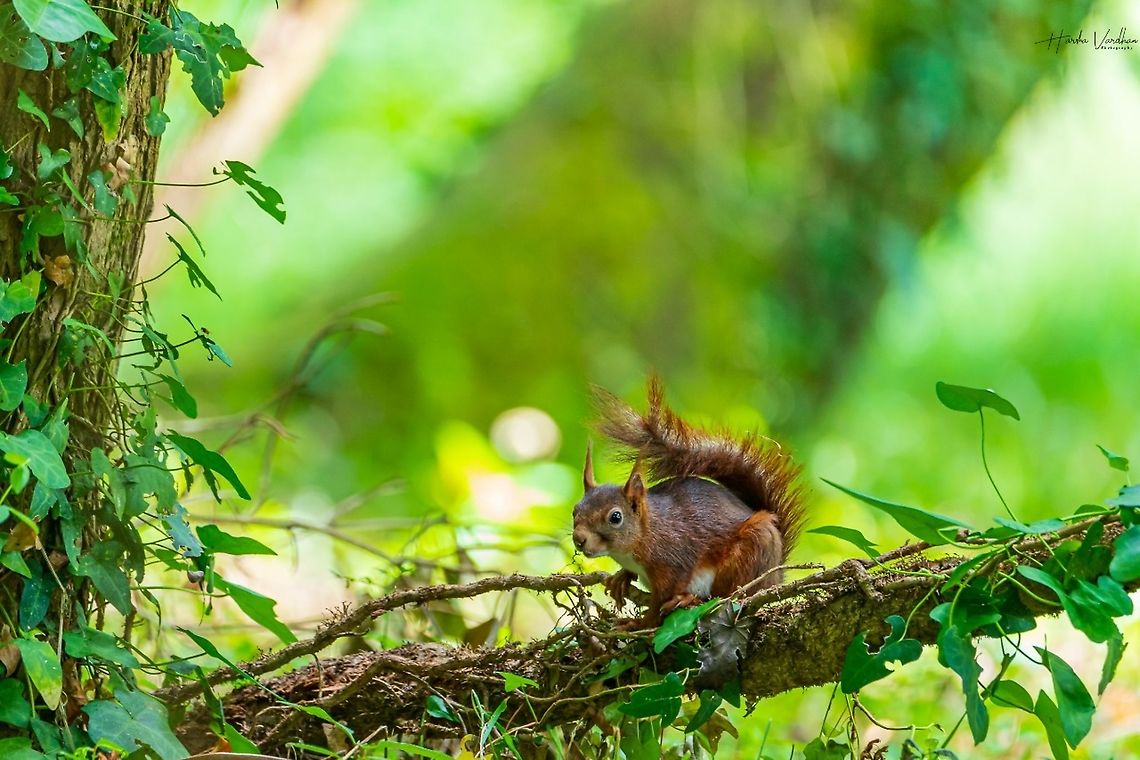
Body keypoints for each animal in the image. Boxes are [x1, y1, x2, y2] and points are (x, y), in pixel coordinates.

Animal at [571, 378, 805, 626]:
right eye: (575, 511)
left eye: (615, 517)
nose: (579, 539)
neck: (647, 533)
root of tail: (777, 574)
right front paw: (621, 578)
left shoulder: (674, 562)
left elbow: (659, 603)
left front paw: (638, 624)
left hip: (753, 549)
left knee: (728, 596)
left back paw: (690, 599)